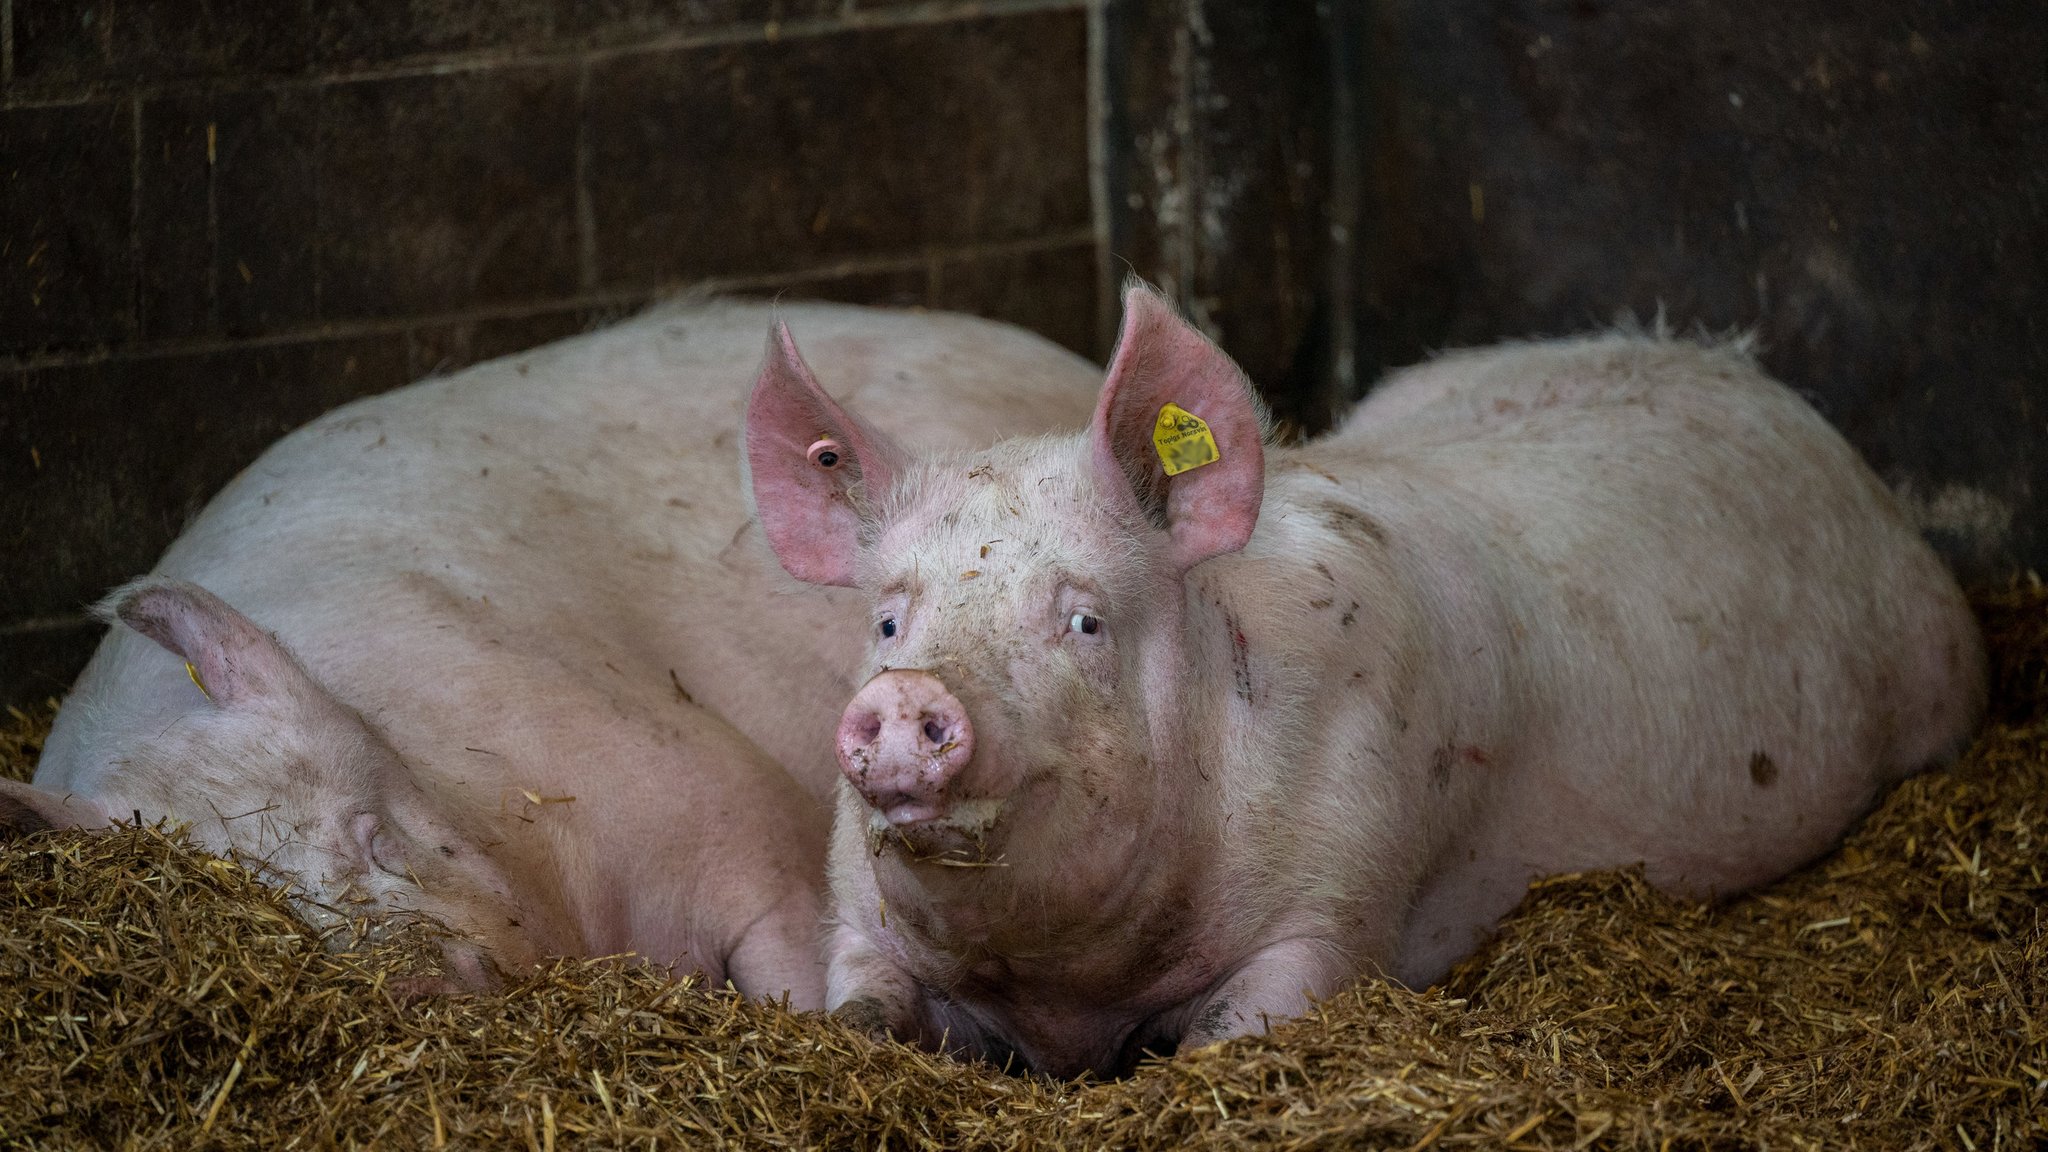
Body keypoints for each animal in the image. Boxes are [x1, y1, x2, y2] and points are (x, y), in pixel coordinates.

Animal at [749, 280, 1982, 1074]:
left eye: (1085, 618)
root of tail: (1723, 361)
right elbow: (857, 1007)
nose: (911, 696)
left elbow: (1232, 1036)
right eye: (891, 619)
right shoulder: (856, 916)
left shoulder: (1345, 894)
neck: (1072, 992)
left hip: (1938, 680)